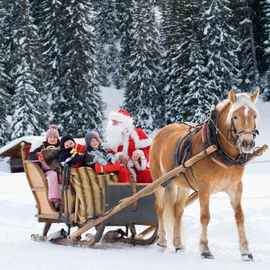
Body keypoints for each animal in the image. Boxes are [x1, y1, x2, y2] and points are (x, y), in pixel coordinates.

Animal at [150, 89, 260, 260]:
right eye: (235, 116)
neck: (217, 147)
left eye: (254, 115)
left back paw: (178, 244)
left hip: (183, 185)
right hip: (160, 181)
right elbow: (205, 216)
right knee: (160, 208)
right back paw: (161, 241)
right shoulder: (204, 188)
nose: (247, 143)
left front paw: (245, 251)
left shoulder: (235, 188)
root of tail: (161, 131)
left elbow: (240, 217)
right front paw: (205, 249)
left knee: (177, 210)